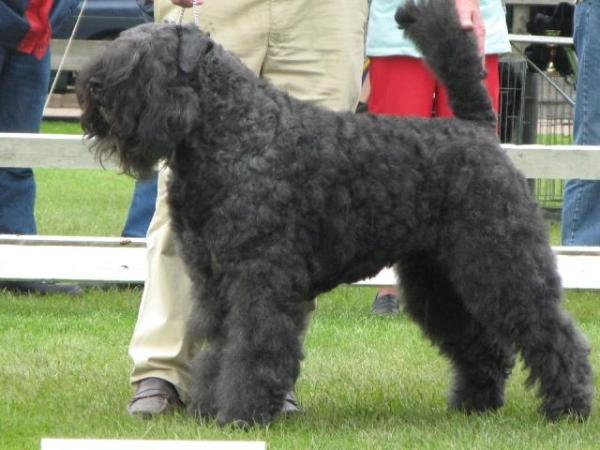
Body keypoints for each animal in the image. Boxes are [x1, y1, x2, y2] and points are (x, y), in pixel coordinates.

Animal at [78, 0, 592, 426]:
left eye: (142, 60)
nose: (93, 87)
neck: (234, 130)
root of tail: (479, 130)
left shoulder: (259, 278)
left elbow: (251, 347)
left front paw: (242, 413)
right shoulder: (215, 281)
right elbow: (218, 348)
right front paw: (208, 407)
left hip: (500, 260)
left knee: (551, 330)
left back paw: (568, 407)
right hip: (436, 277)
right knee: (480, 344)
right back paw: (475, 403)